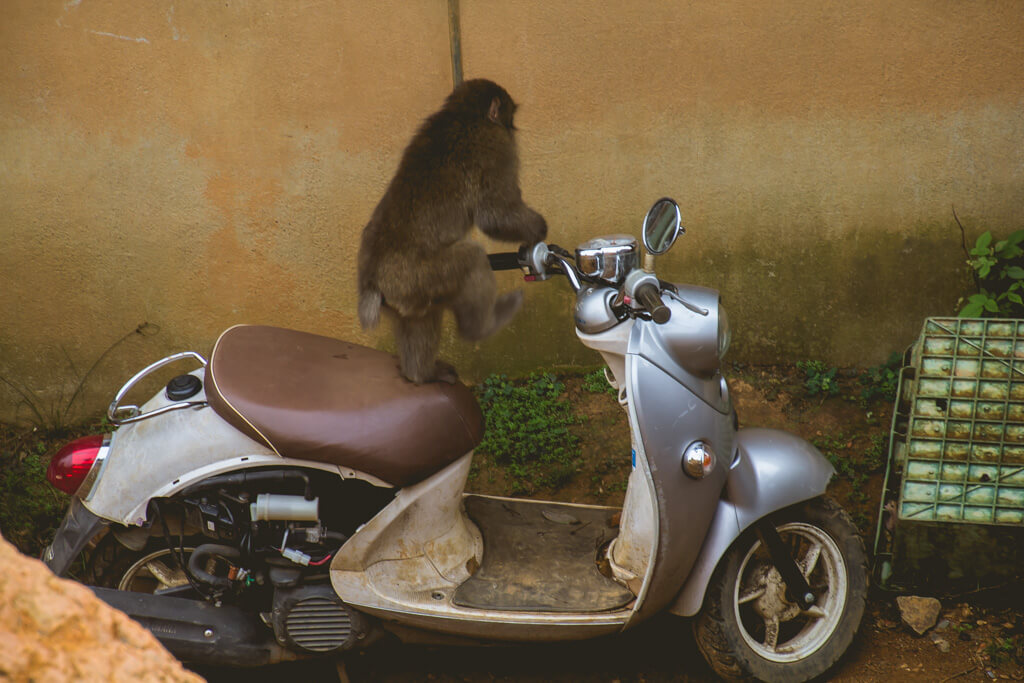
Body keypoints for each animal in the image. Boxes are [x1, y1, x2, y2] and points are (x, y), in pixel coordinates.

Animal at [358, 80, 548, 385]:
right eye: (510, 118)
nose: (513, 128)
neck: (463, 113)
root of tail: (371, 281)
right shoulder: (497, 147)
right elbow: (493, 215)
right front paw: (538, 229)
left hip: (406, 294)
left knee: (420, 319)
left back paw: (419, 375)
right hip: (420, 277)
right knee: (472, 259)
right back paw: (481, 328)